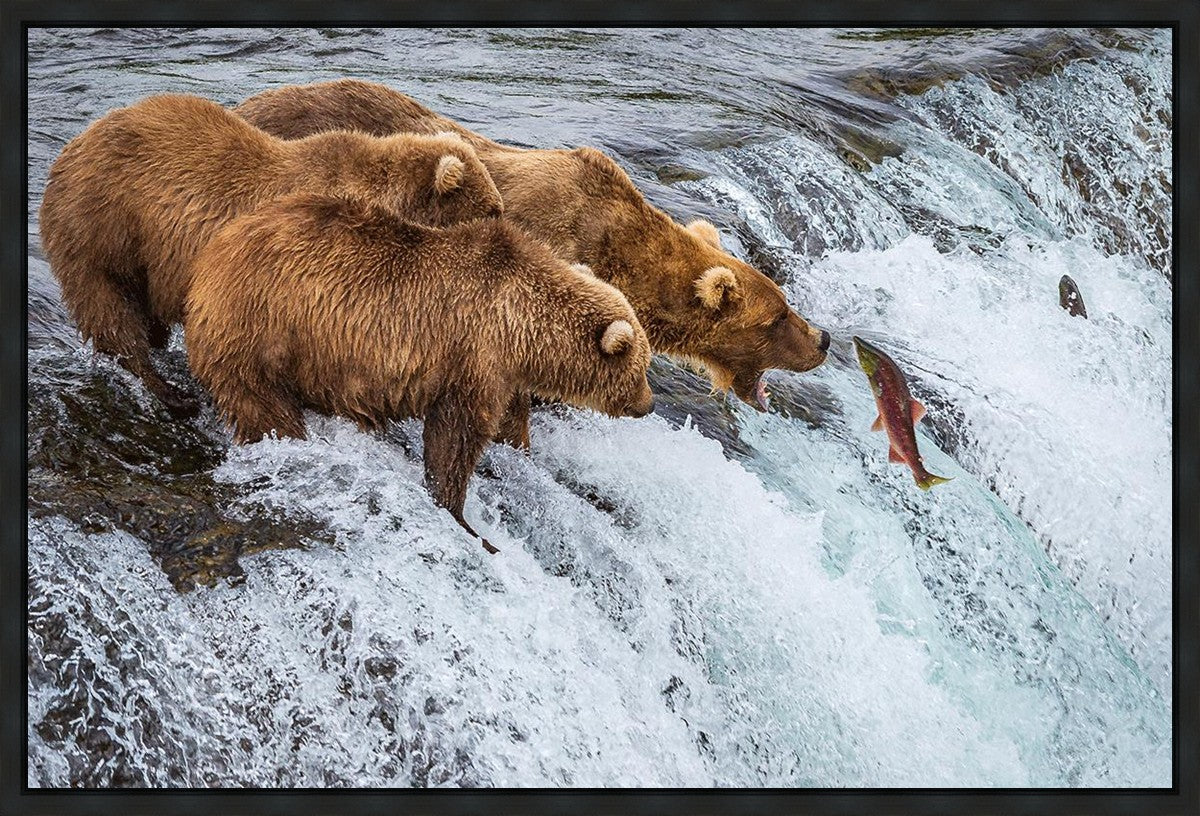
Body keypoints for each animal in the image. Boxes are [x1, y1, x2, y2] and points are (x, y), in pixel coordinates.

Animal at [39, 92, 504, 418]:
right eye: (492, 209)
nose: (505, 223)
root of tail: (71, 147)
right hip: (103, 227)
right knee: (109, 310)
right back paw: (170, 392)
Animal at [184, 191, 655, 554]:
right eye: (641, 368)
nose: (648, 405)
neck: (522, 326)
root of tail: (210, 256)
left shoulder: (503, 373)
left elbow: (508, 423)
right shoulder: (473, 355)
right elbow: (455, 438)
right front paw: (465, 519)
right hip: (261, 329)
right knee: (263, 405)